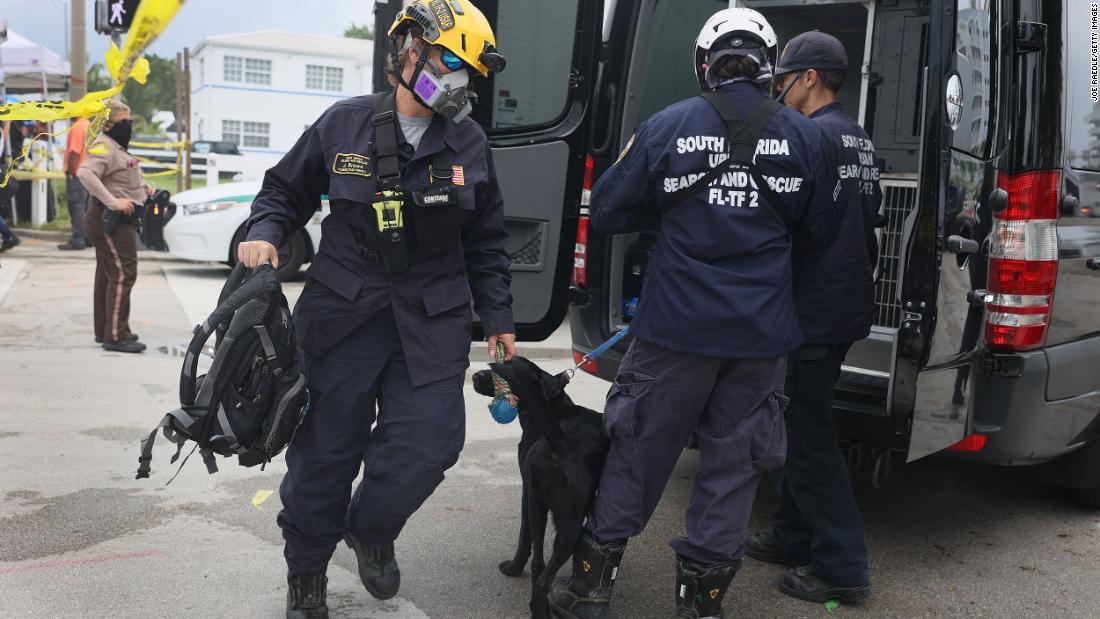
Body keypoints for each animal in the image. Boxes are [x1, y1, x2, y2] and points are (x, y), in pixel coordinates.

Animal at [473, 356, 611, 615]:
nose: (475, 375)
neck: (554, 407)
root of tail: (563, 445)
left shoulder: (528, 496)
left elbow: (523, 537)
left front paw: (514, 568)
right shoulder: (529, 496)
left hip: (542, 511)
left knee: (539, 565)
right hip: (567, 523)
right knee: (542, 574)